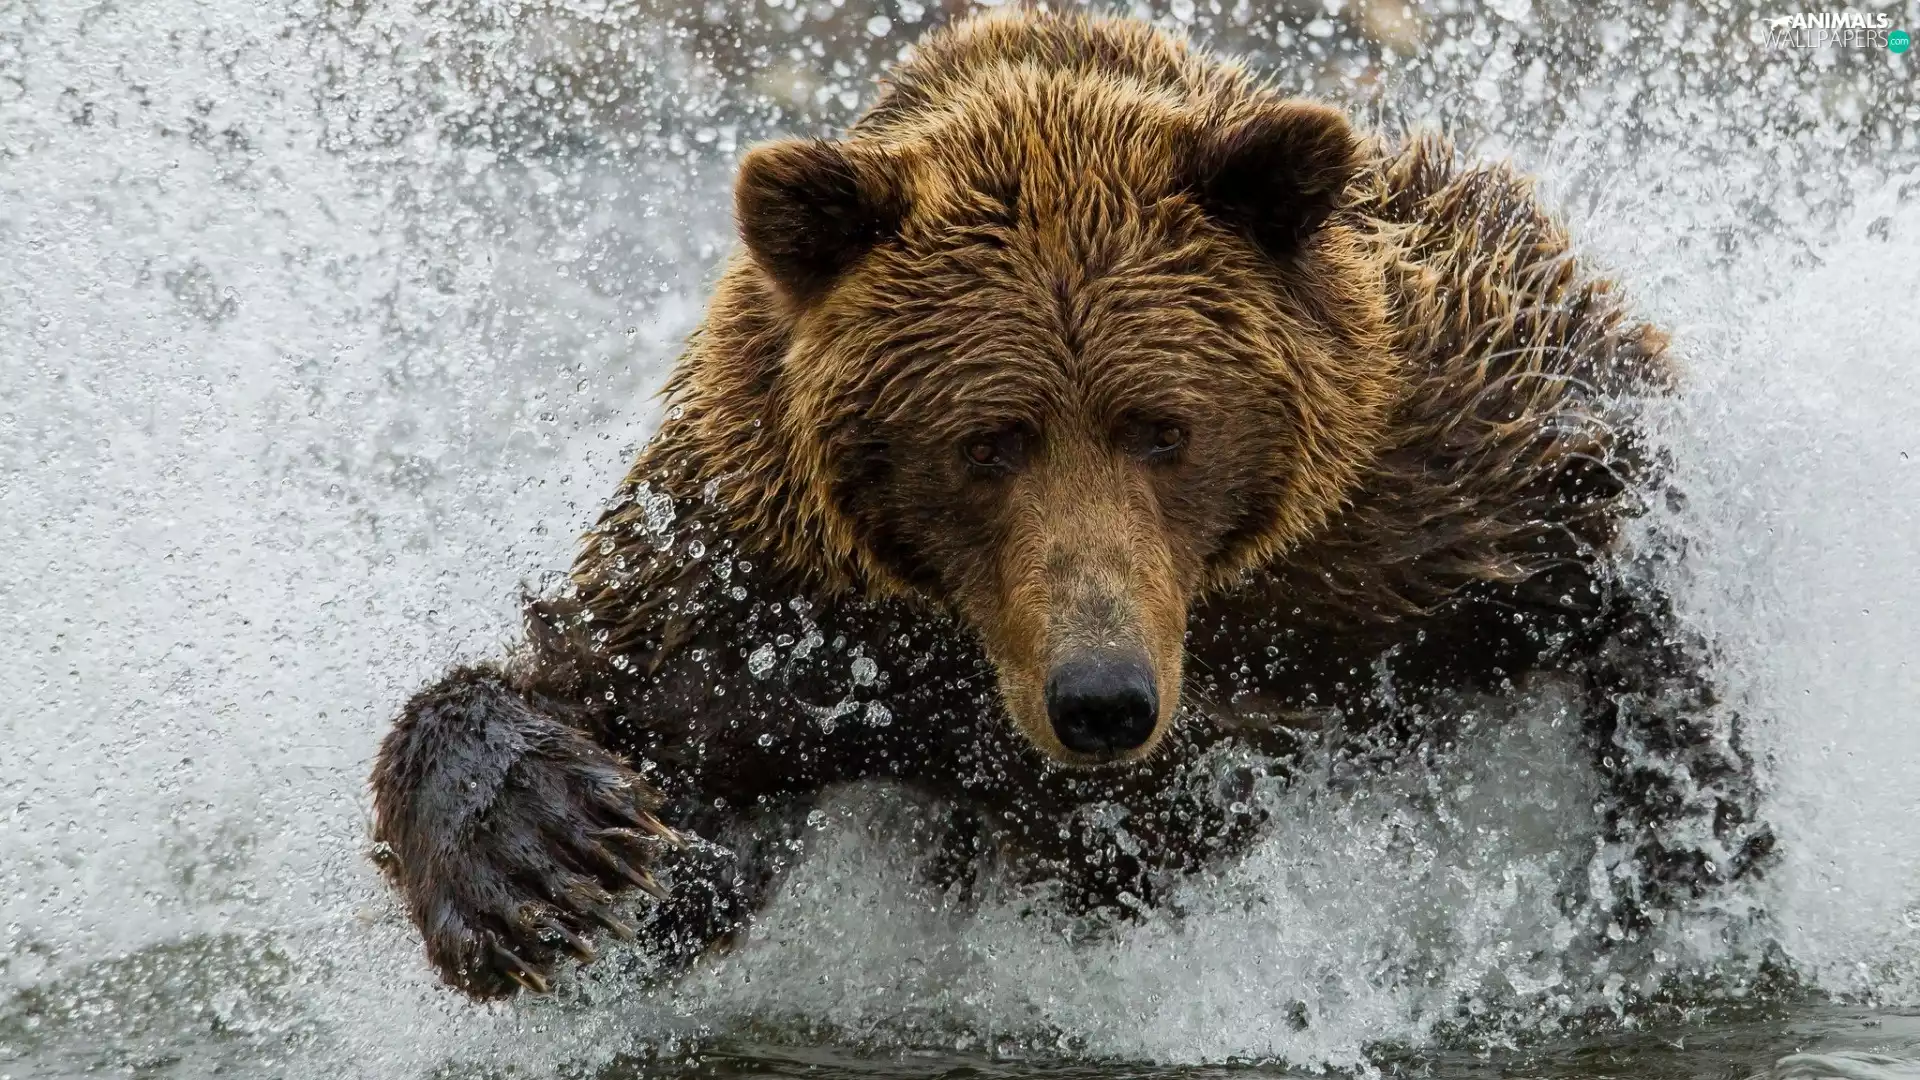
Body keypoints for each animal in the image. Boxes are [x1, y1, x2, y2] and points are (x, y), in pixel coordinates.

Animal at [369, 9, 1773, 1000]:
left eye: (1165, 428)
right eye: (986, 442)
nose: (1103, 698)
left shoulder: (1441, 464)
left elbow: (1621, 566)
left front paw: (1683, 854)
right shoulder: (774, 596)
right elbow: (617, 702)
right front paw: (545, 857)